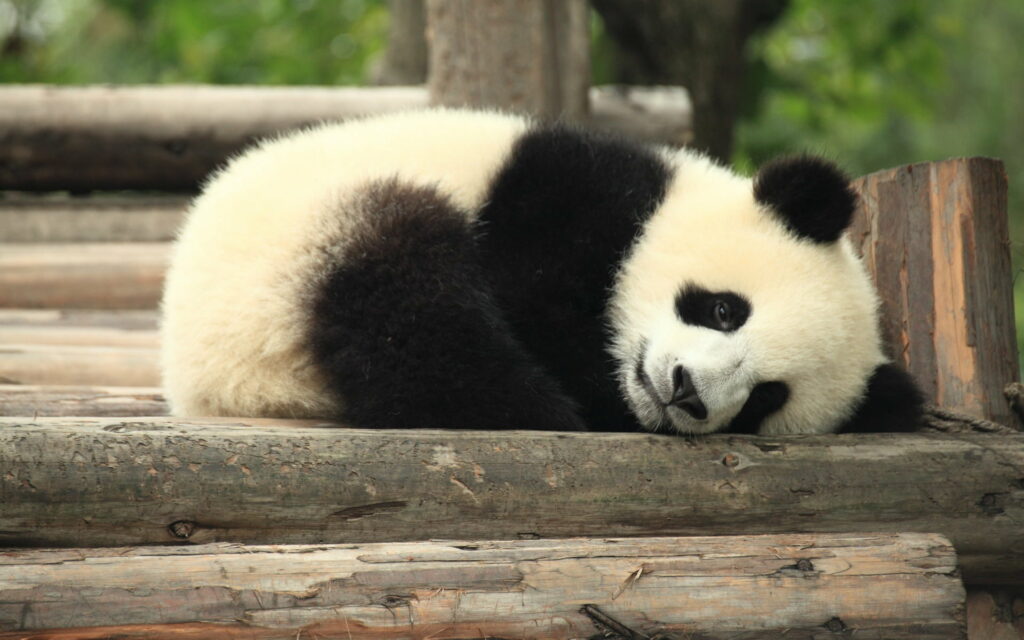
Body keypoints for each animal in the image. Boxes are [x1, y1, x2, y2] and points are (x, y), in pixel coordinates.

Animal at [160, 108, 923, 435]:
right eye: (724, 309)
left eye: (767, 397)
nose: (685, 393)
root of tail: (196, 380)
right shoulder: (564, 196)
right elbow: (531, 298)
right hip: (294, 253)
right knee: (411, 305)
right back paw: (537, 407)